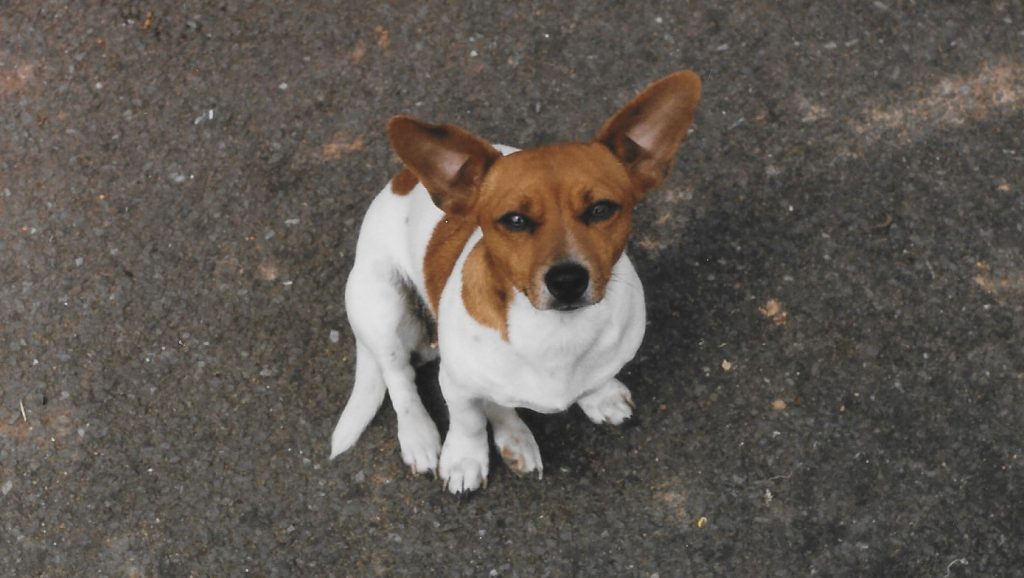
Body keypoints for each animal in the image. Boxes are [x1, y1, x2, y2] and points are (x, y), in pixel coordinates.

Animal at [331, 67, 700, 491]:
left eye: (601, 209)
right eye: (515, 220)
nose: (567, 279)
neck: (556, 332)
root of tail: (403, 178)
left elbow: (593, 379)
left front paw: (599, 396)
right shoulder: (457, 386)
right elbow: (468, 421)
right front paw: (464, 458)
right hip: (381, 306)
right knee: (400, 377)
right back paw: (420, 436)